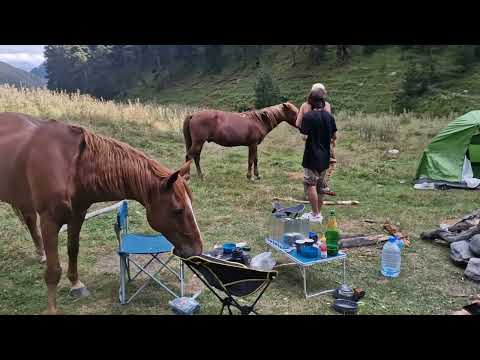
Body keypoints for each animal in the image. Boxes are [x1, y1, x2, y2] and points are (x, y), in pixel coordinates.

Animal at [0, 113, 202, 316]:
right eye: (178, 210)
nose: (197, 250)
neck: (71, 166)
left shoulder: (78, 214)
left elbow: (73, 249)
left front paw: (76, 284)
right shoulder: (49, 221)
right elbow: (53, 270)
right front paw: (51, 309)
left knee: (29, 219)